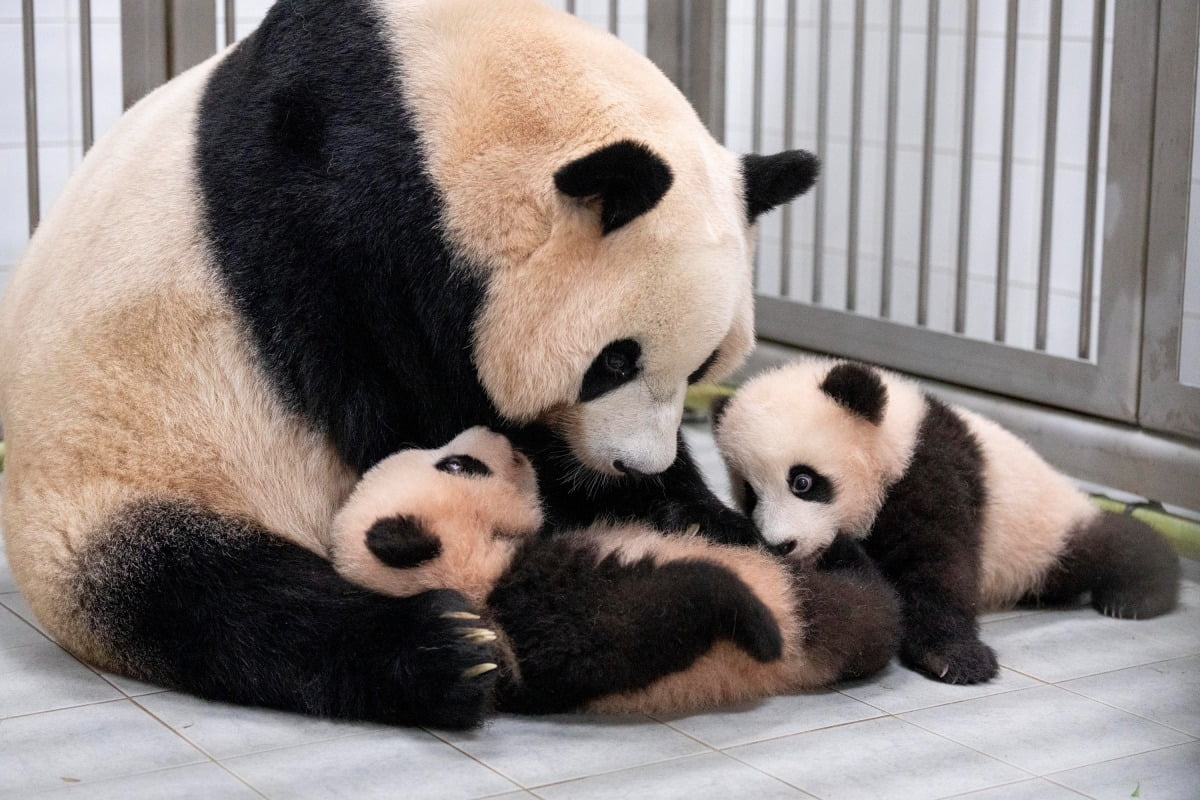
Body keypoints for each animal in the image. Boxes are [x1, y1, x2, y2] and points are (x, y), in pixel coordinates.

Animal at [0, 0, 820, 729]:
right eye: (612, 362)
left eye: (708, 362)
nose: (632, 467)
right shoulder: (335, 220)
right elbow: (407, 408)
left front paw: (713, 522)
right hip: (116, 482)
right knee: (209, 597)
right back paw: (446, 653)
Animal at [328, 424, 902, 714]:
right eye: (454, 465)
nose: (493, 429)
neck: (476, 566)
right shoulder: (535, 609)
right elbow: (649, 617)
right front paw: (755, 621)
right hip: (824, 622)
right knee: (864, 613)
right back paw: (842, 553)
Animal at [710, 359, 1180, 686]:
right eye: (750, 494)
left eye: (803, 481)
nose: (781, 545)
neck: (892, 443)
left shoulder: (929, 472)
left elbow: (936, 567)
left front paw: (956, 659)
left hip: (1043, 529)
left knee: (1106, 544)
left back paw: (1138, 594)